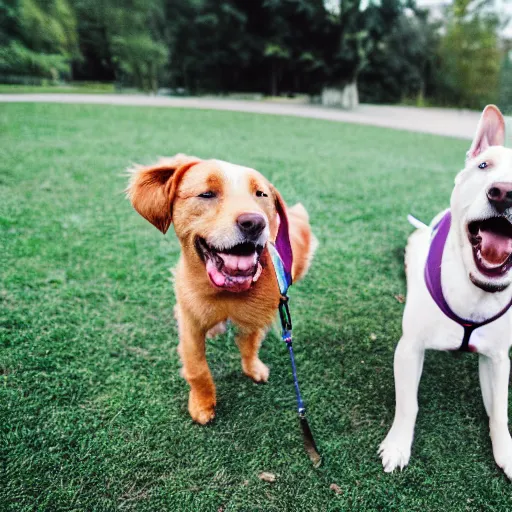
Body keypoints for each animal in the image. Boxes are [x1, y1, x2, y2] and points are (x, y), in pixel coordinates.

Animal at [127, 155, 316, 424]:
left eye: (261, 194)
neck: (226, 292)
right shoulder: (191, 323)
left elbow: (250, 346)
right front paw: (203, 404)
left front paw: (253, 368)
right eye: (206, 194)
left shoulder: (256, 318)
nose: (254, 222)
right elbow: (197, 369)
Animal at [378, 105, 512, 480]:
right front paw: (397, 445)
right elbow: (408, 404)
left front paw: (508, 453)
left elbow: (499, 411)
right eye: (484, 166)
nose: (504, 192)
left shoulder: (498, 359)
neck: (478, 288)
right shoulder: (409, 348)